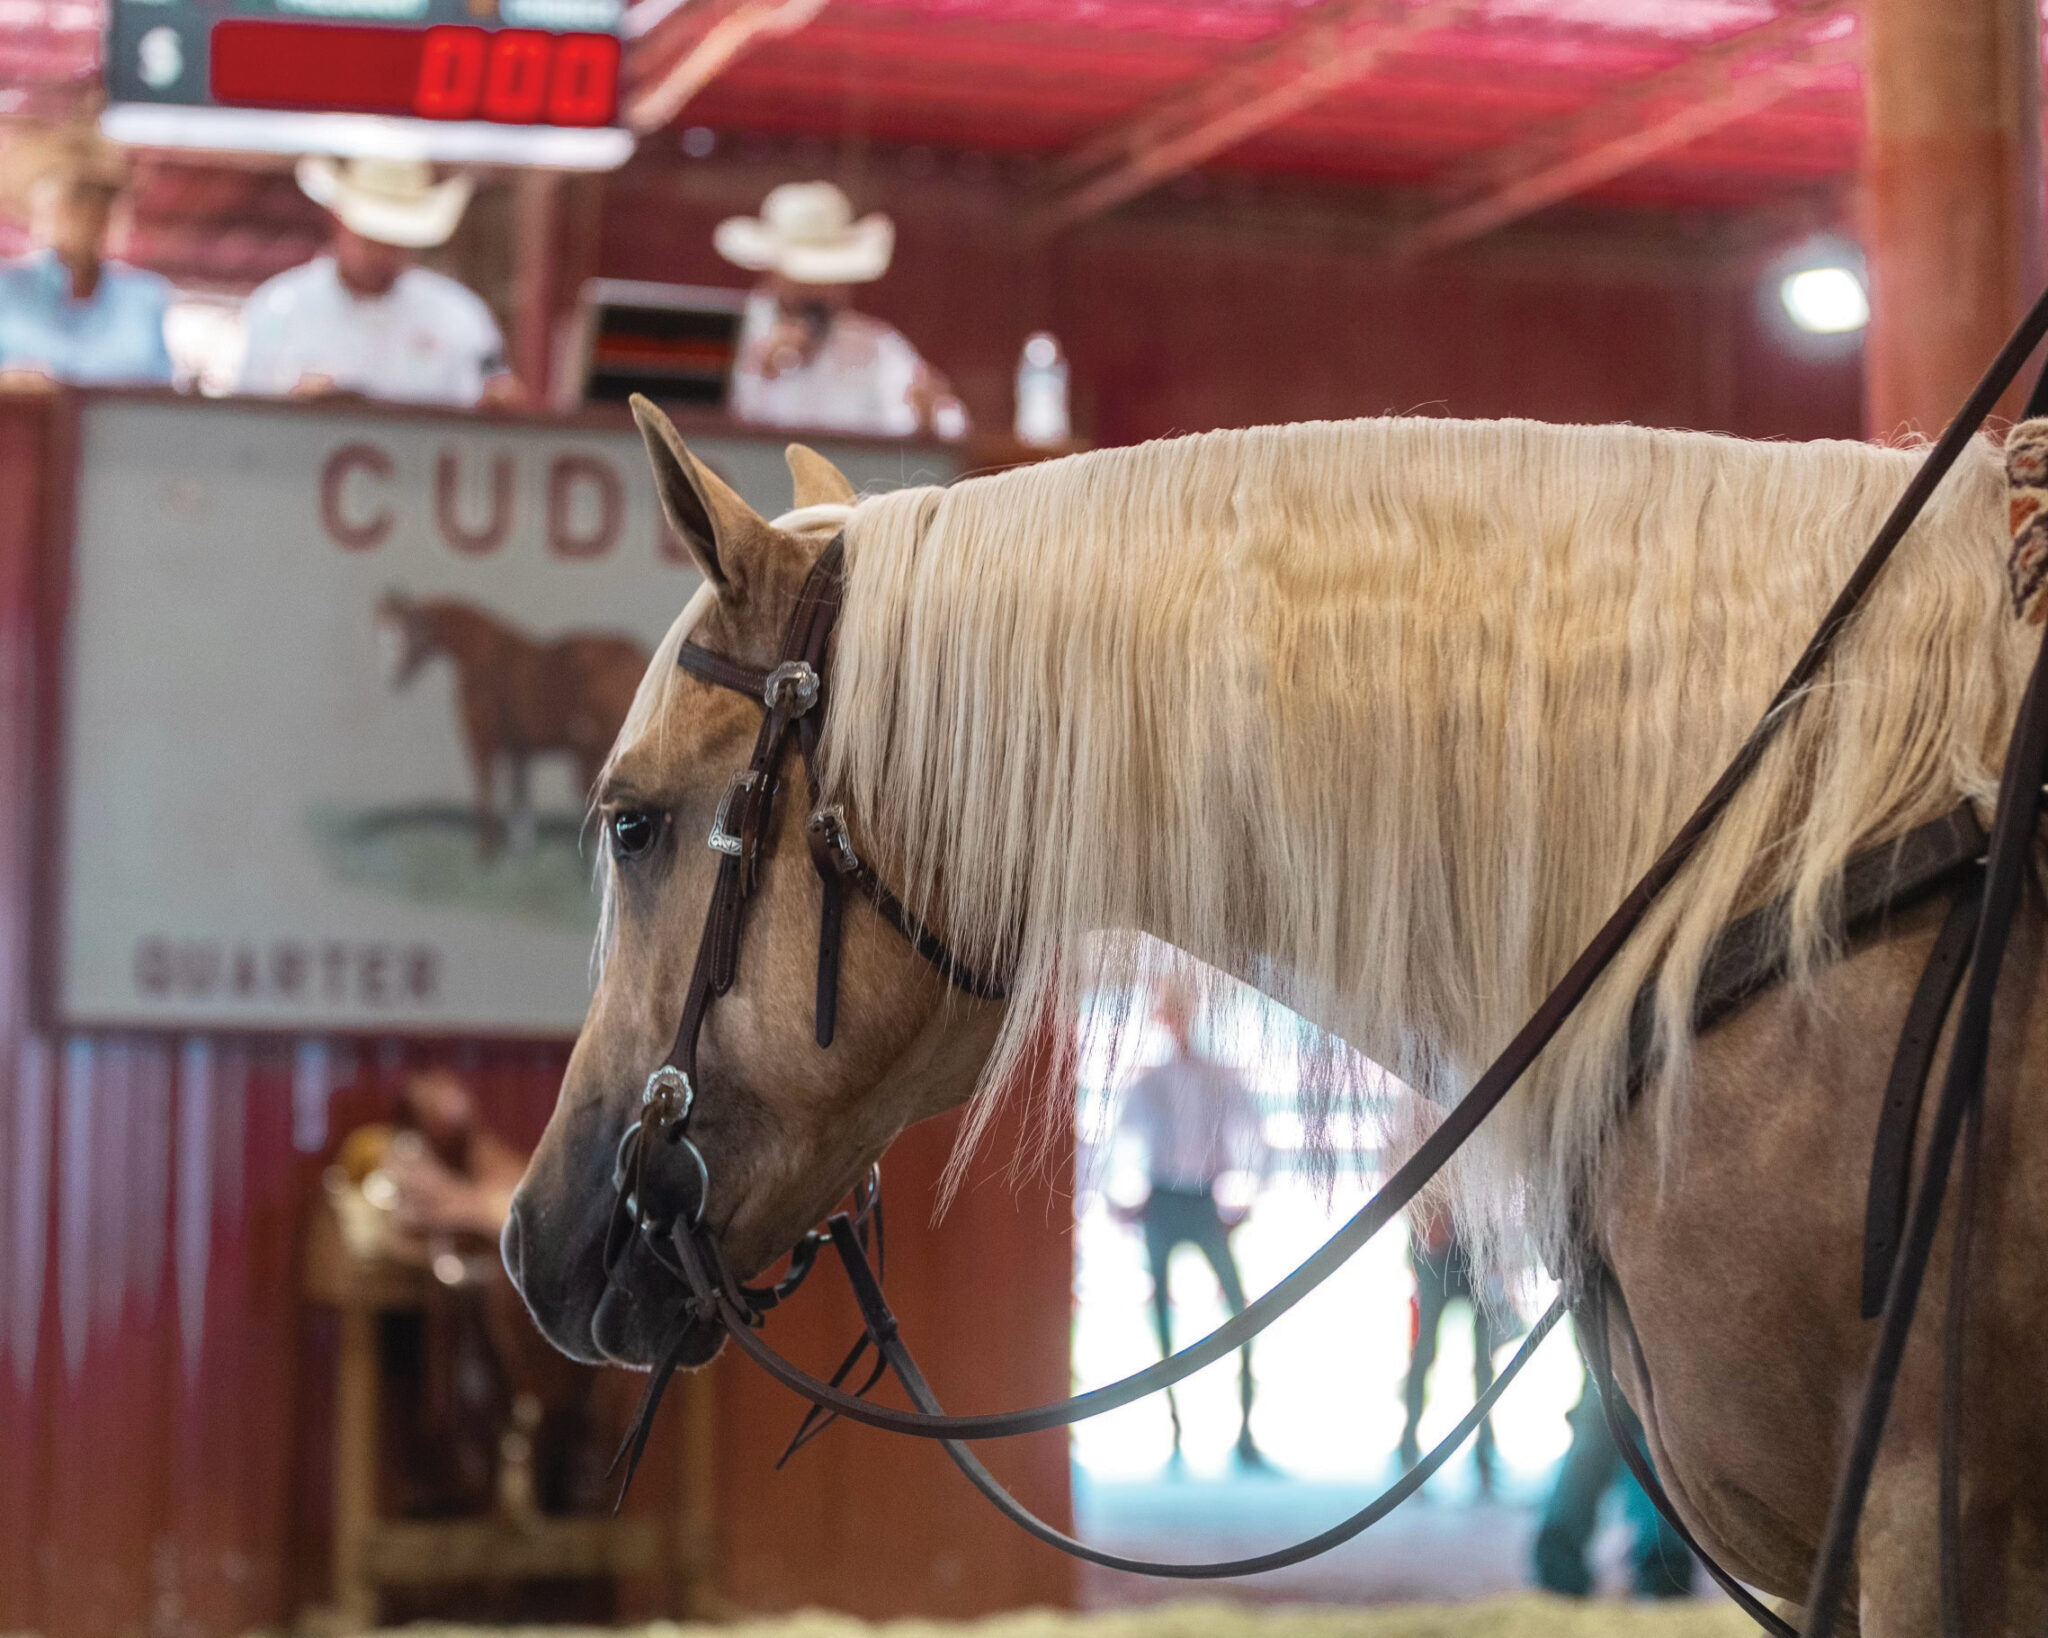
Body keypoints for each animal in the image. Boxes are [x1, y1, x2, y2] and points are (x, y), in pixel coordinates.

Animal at [375, 592, 649, 858]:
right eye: (389, 633)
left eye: (410, 633)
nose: (393, 677)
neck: (482, 657)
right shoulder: (519, 748)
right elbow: (519, 795)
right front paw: (521, 848)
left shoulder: (481, 745)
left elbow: (486, 793)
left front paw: (487, 851)